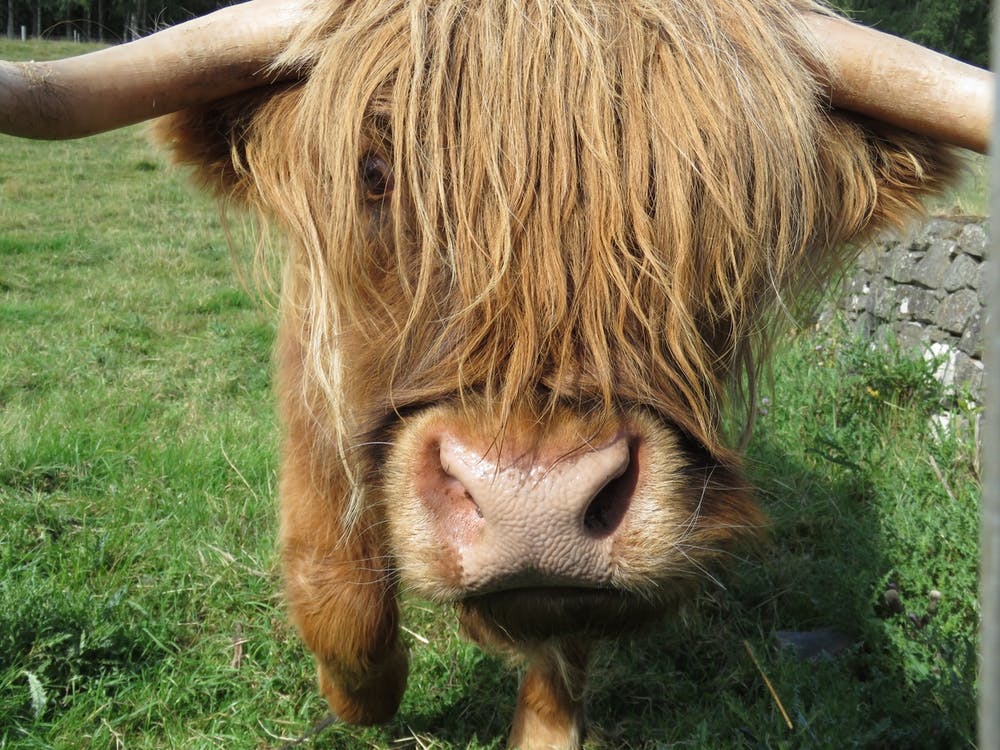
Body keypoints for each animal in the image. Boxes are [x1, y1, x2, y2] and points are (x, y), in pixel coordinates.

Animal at [1, 1, 991, 747]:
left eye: (721, 204)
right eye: (375, 170)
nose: (530, 502)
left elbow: (559, 661)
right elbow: (341, 599)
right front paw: (362, 700)